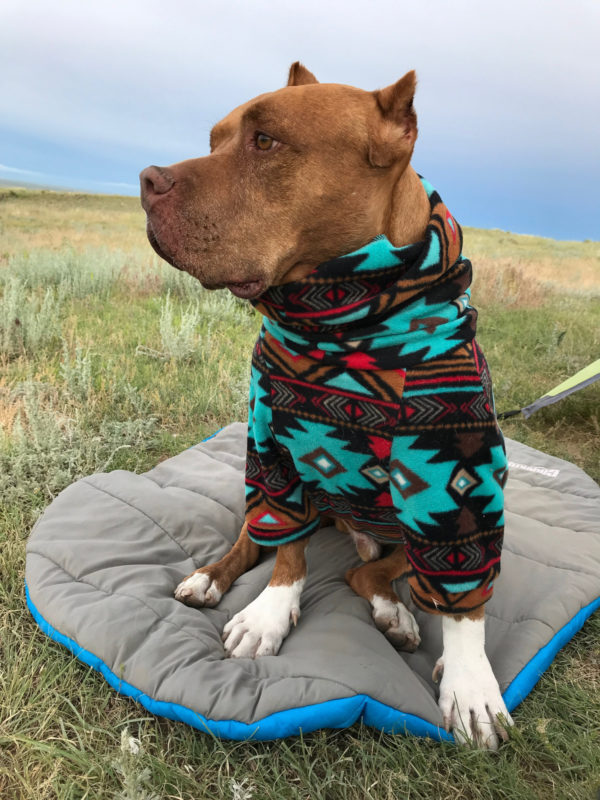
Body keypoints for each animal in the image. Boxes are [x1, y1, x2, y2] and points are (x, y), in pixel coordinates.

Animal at [139, 62, 510, 752]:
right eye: (214, 138)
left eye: (265, 142)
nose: (147, 181)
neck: (340, 324)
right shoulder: (271, 448)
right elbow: (286, 549)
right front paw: (269, 612)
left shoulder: (458, 481)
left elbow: (464, 601)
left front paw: (470, 681)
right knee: (259, 537)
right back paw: (212, 575)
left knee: (376, 575)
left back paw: (397, 611)